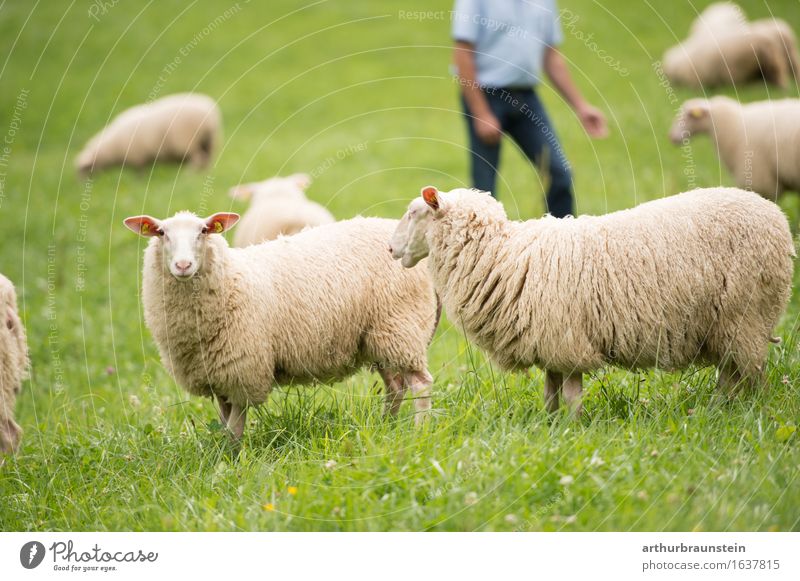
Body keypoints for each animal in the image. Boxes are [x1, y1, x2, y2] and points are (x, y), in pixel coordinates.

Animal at [75, 93, 220, 177]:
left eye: (83, 170)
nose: (79, 184)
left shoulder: (136, 156)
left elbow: (140, 172)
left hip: (187, 141)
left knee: (198, 158)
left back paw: (188, 175)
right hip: (209, 141)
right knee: (207, 159)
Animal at [122, 208, 440, 436]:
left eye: (203, 231)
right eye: (161, 233)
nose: (183, 265)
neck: (231, 279)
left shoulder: (243, 371)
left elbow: (235, 428)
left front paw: (234, 463)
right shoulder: (218, 375)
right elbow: (225, 425)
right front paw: (221, 458)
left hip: (401, 326)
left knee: (420, 384)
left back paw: (419, 432)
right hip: (378, 338)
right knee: (396, 387)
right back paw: (385, 427)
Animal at [390, 186, 792, 416]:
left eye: (413, 212)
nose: (391, 250)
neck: (502, 255)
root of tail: (776, 215)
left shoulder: (566, 343)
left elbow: (570, 397)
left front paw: (572, 430)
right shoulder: (549, 343)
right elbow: (550, 395)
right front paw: (549, 428)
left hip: (746, 314)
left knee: (754, 376)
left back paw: (749, 414)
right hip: (728, 324)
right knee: (732, 375)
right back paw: (718, 410)